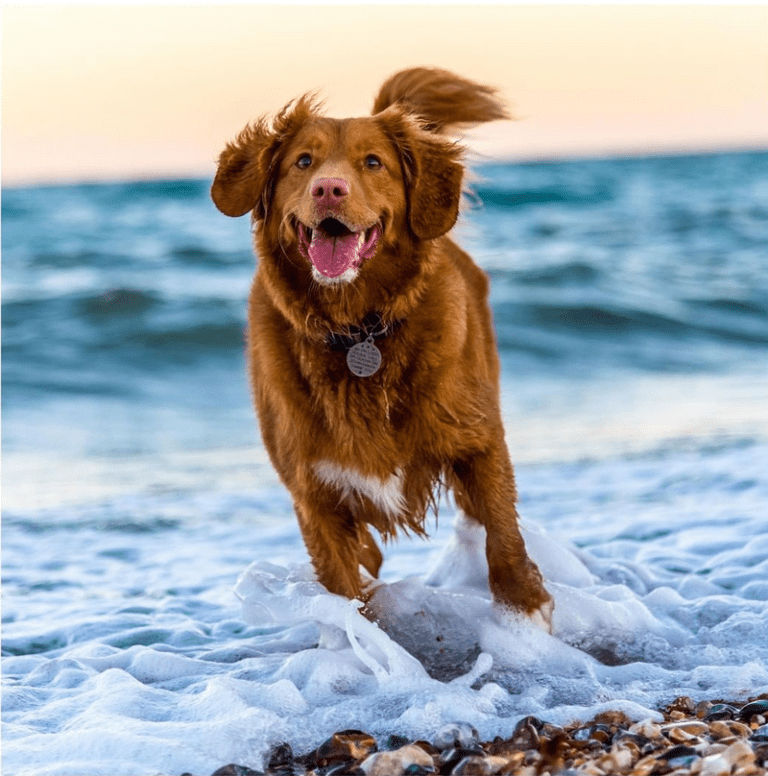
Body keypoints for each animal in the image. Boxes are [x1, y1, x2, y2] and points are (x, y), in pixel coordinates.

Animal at [213, 68, 556, 632]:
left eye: (373, 162)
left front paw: (524, 611)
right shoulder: (313, 492)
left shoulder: (478, 438)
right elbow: (343, 587)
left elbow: (503, 533)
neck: (358, 331)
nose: (329, 188)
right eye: (302, 162)